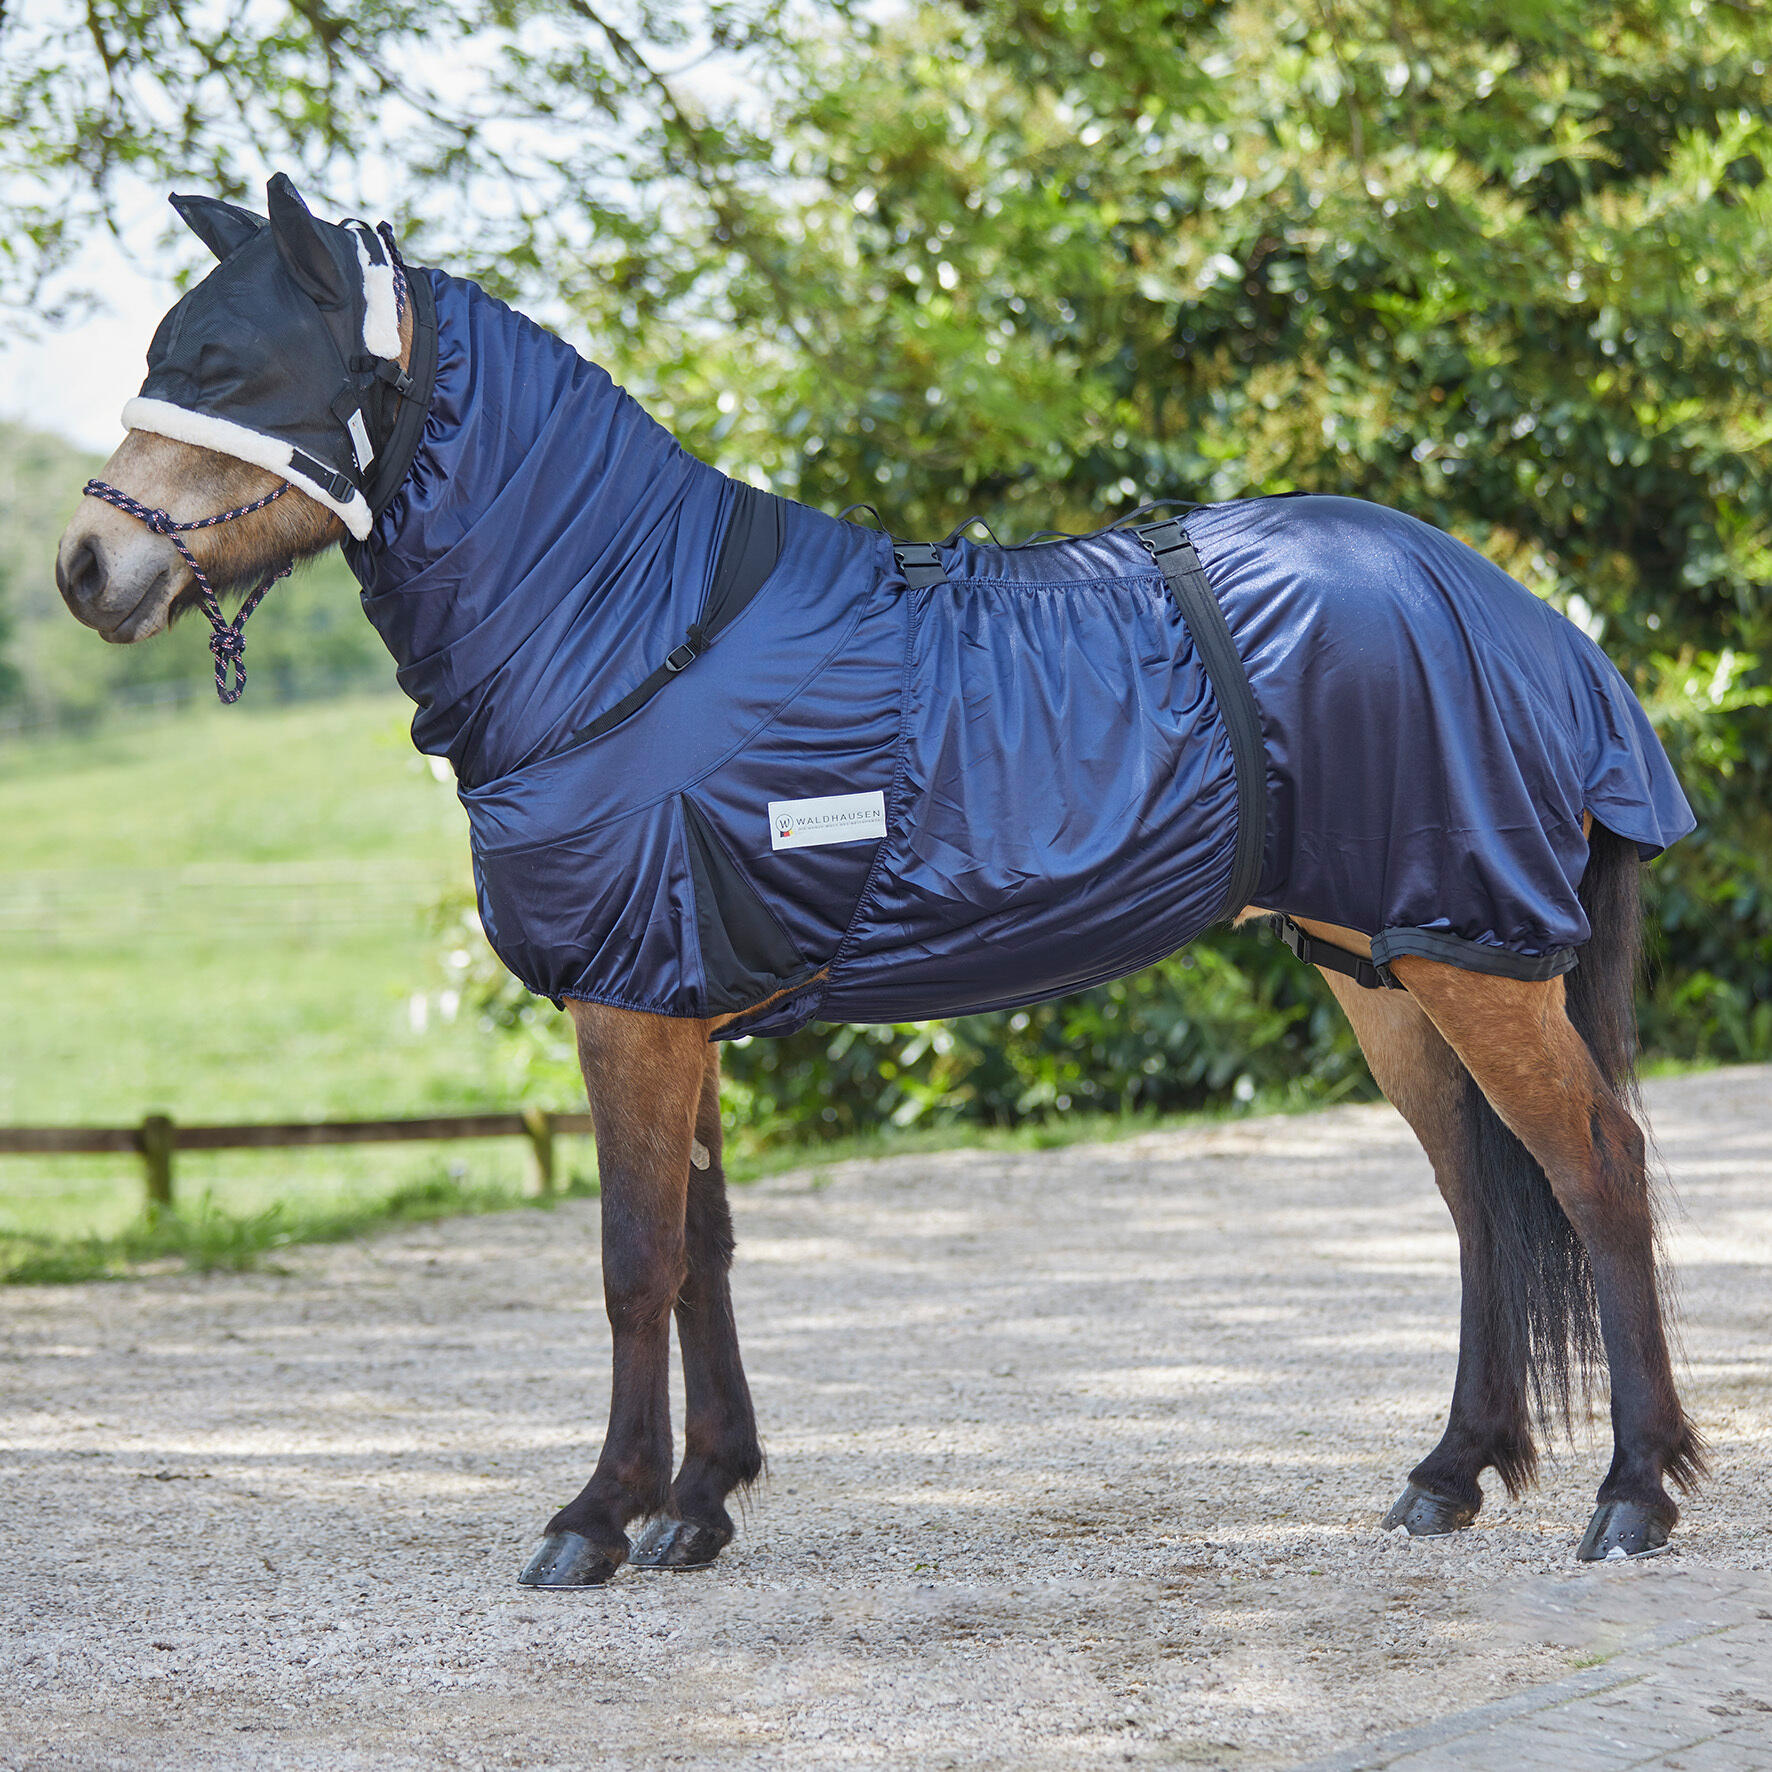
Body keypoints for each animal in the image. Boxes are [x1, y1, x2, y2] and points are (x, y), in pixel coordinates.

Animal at [55, 175, 1706, 1586]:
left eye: (230, 366)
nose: (82, 570)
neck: (633, 633)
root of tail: (1526, 619)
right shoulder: (676, 1001)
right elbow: (704, 1252)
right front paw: (699, 1504)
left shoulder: (626, 1006)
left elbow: (633, 1260)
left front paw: (595, 1518)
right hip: (1385, 965)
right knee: (1480, 1199)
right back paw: (1449, 1473)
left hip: (1470, 956)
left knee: (1597, 1170)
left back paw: (1634, 1496)